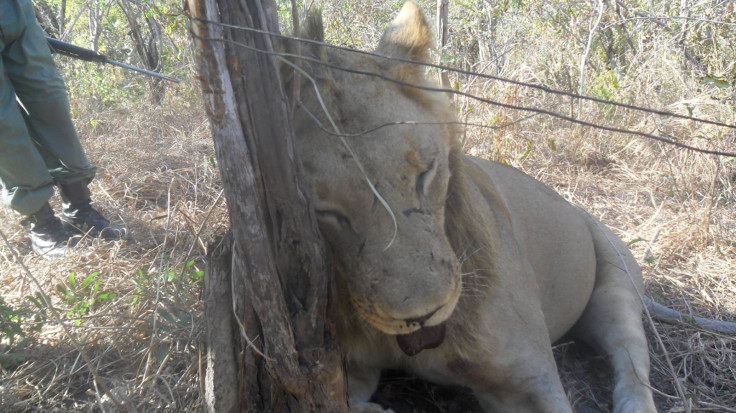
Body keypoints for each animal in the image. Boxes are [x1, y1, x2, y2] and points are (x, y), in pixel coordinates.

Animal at [284, 4, 660, 412]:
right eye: (327, 212)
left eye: (425, 174)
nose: (423, 315)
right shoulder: (346, 369)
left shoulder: (528, 376)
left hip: (617, 283)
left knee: (633, 357)